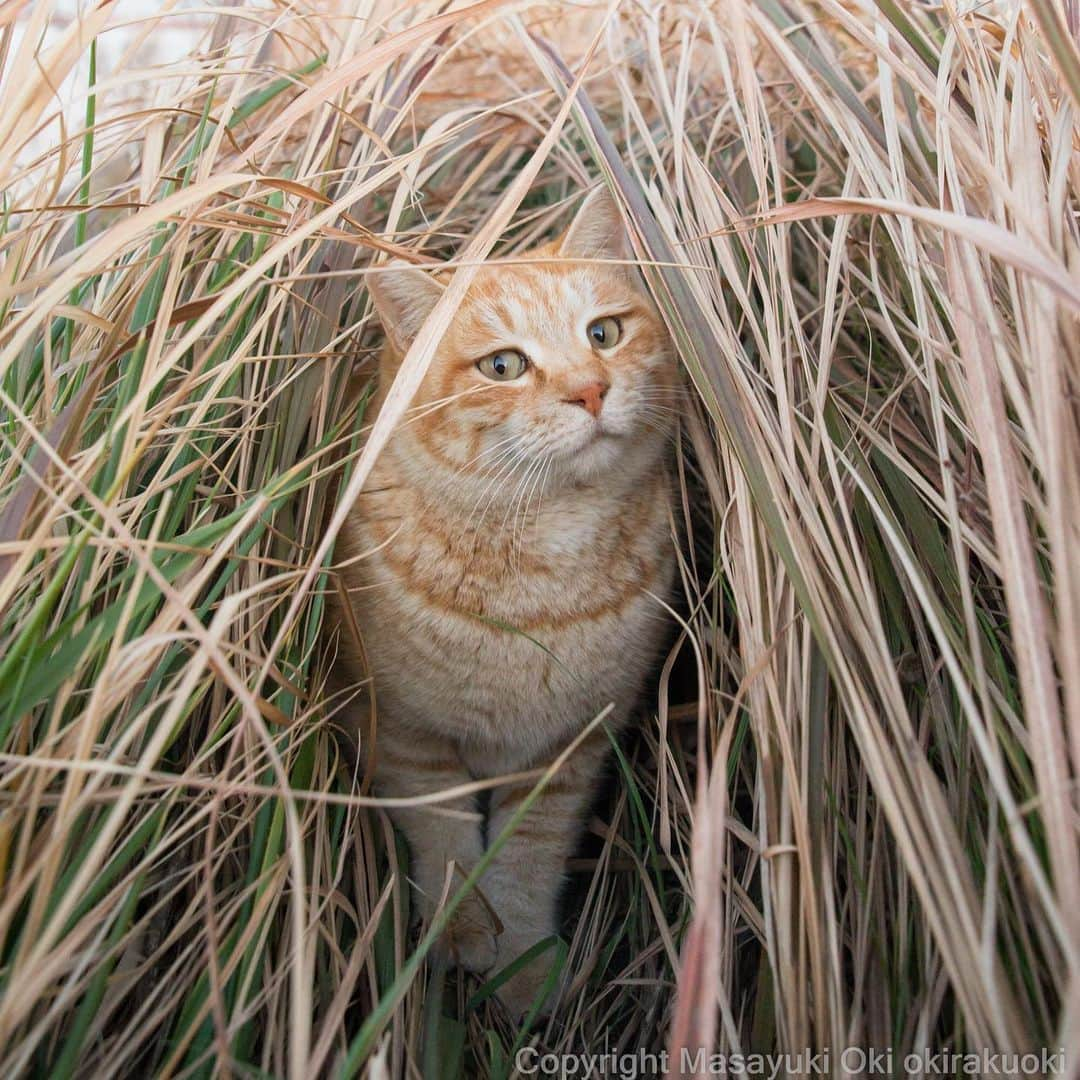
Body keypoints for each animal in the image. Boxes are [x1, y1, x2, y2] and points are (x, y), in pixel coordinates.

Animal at [336, 192, 673, 1010]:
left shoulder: (570, 749)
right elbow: (447, 836)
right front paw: (459, 932)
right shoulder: (403, 733)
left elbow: (528, 854)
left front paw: (522, 962)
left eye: (603, 333)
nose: (590, 390)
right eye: (503, 366)